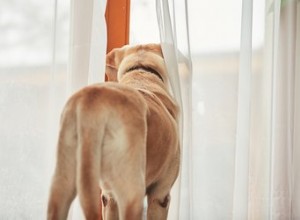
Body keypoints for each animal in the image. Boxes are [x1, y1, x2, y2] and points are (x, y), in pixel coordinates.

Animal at [45, 43, 179, 220]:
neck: (141, 72)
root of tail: (93, 104)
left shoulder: (109, 197)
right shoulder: (161, 194)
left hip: (61, 183)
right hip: (132, 192)